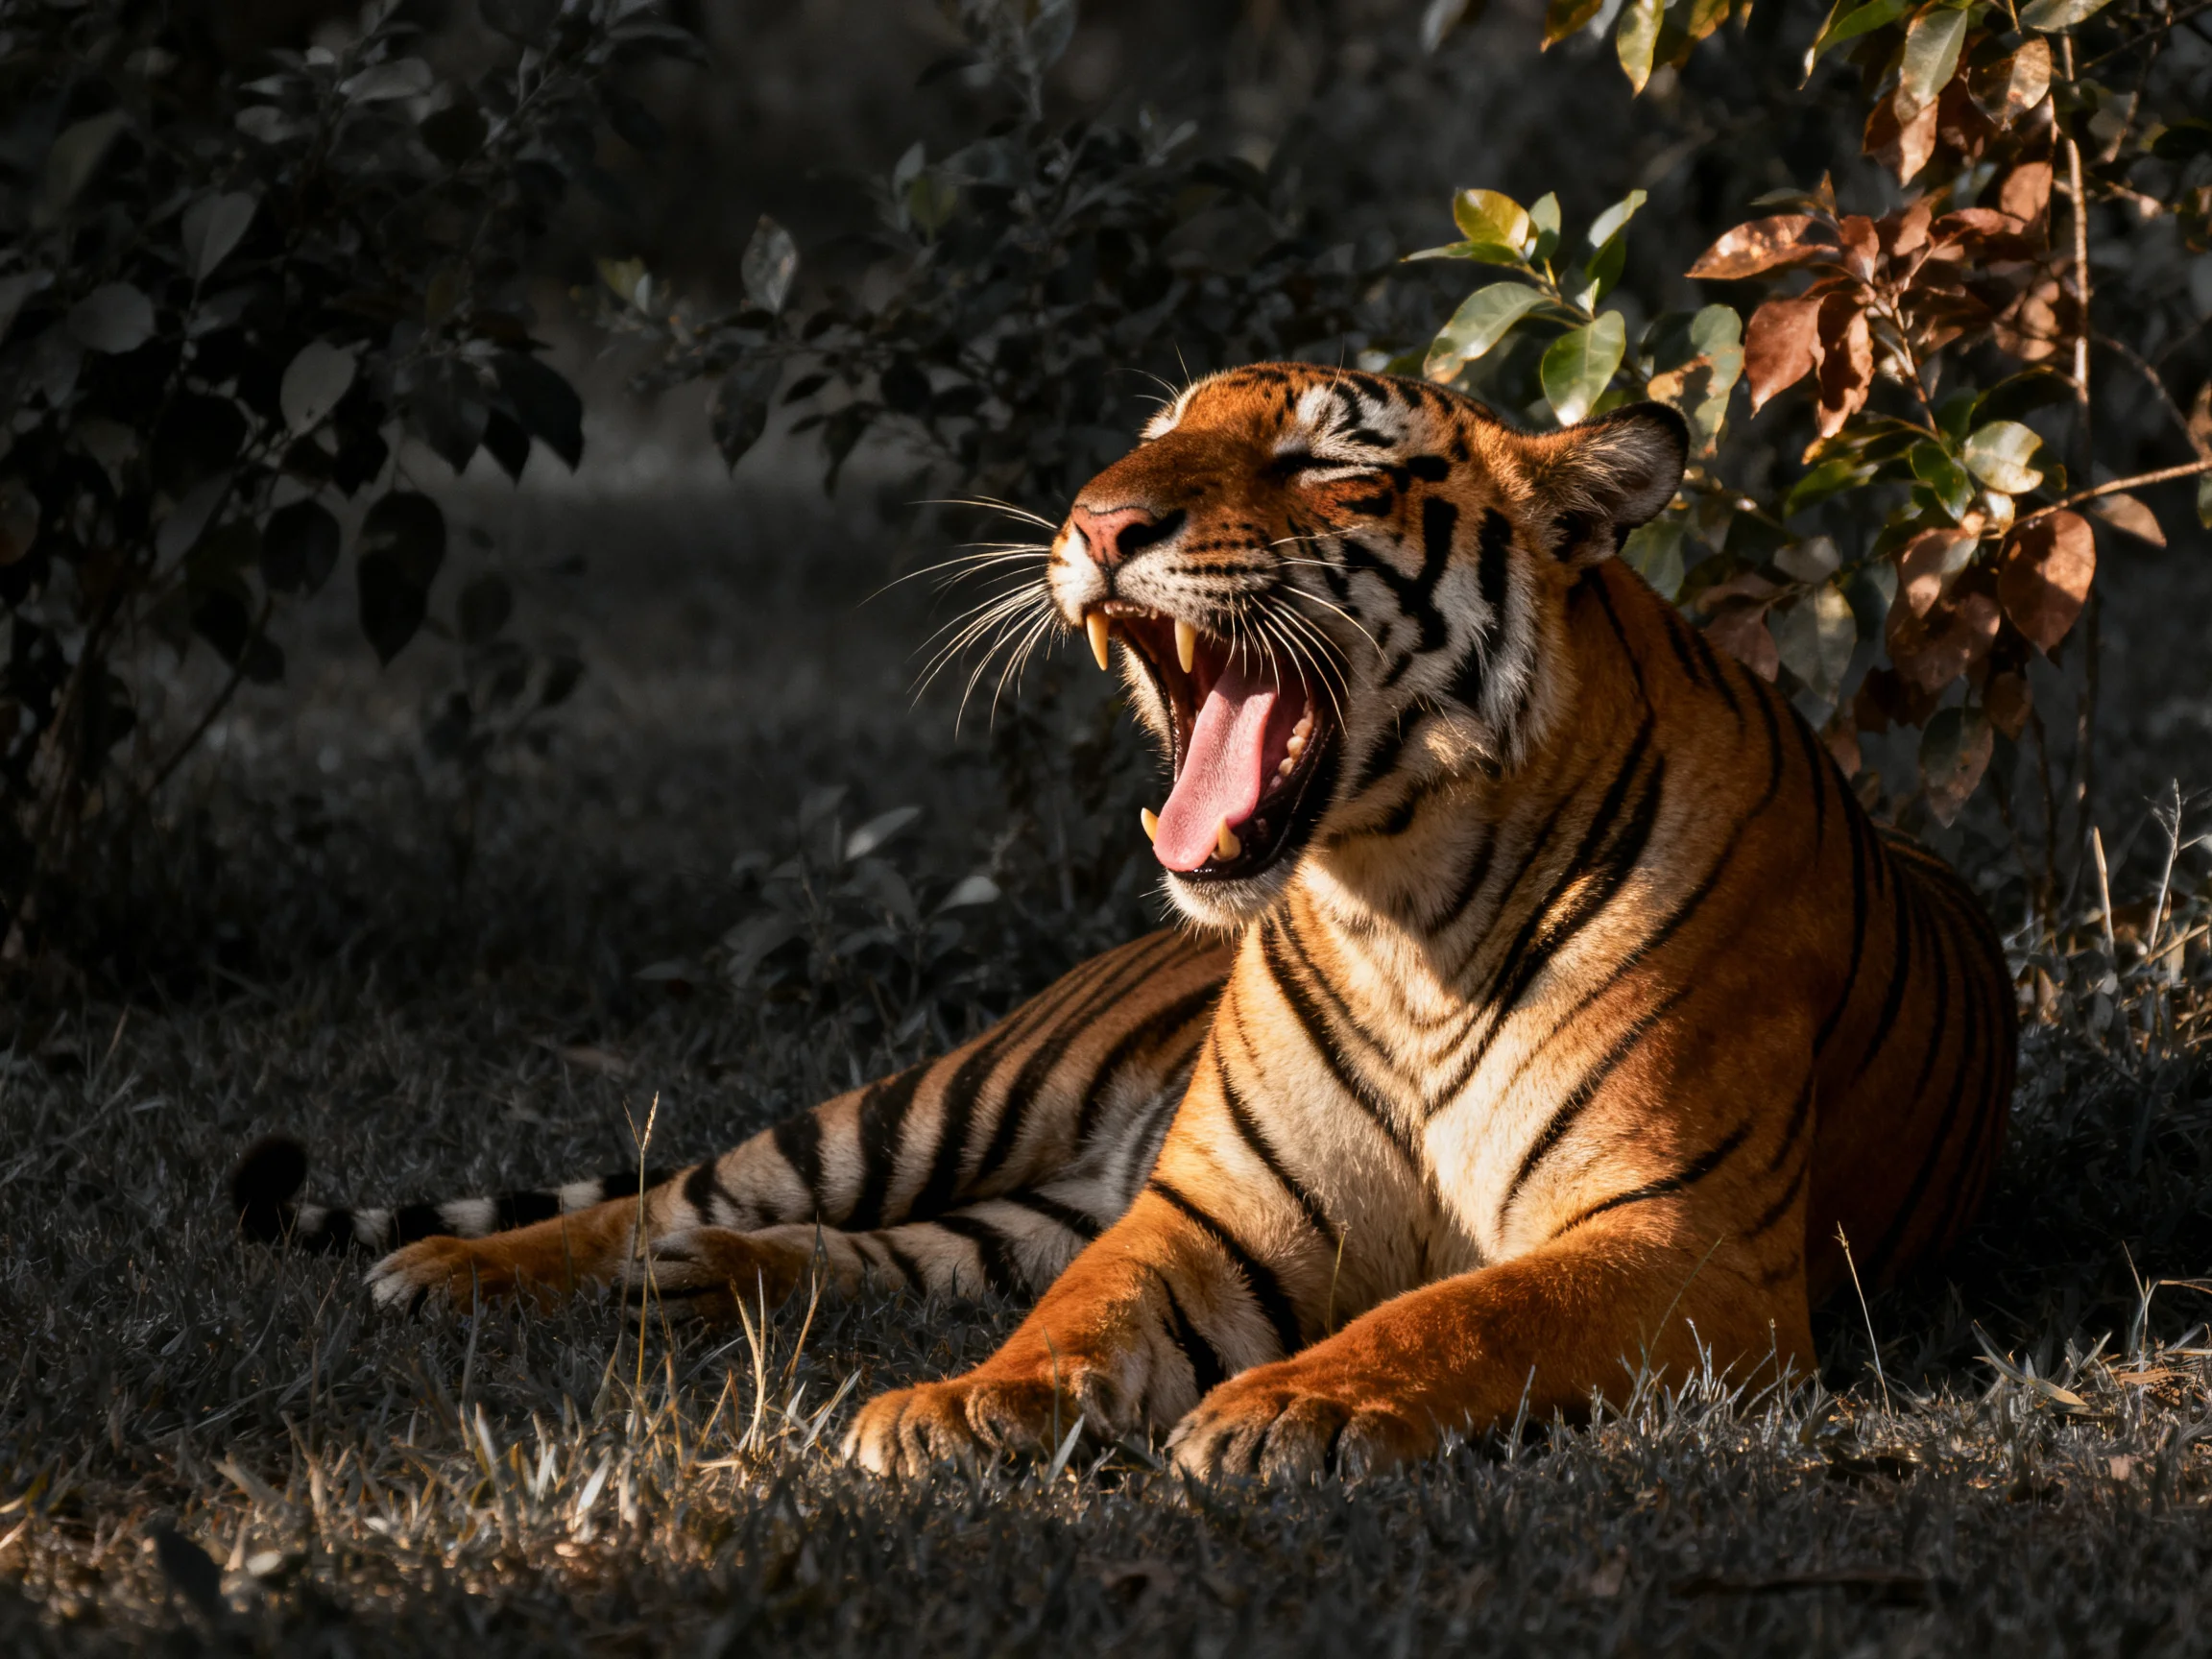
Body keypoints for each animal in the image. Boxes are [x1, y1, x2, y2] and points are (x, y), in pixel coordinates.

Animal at [233, 362, 2016, 1482]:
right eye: (1151, 437)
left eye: (1325, 459)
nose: (1094, 525)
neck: (1406, 913)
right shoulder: (1209, 1209)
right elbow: (1082, 1316)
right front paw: (970, 1409)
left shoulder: (1678, 1239)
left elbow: (1460, 1305)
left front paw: (1290, 1409)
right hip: (942, 1099)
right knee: (678, 1184)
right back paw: (463, 1269)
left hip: (1007, 1194)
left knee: (845, 1248)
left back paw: (696, 1283)